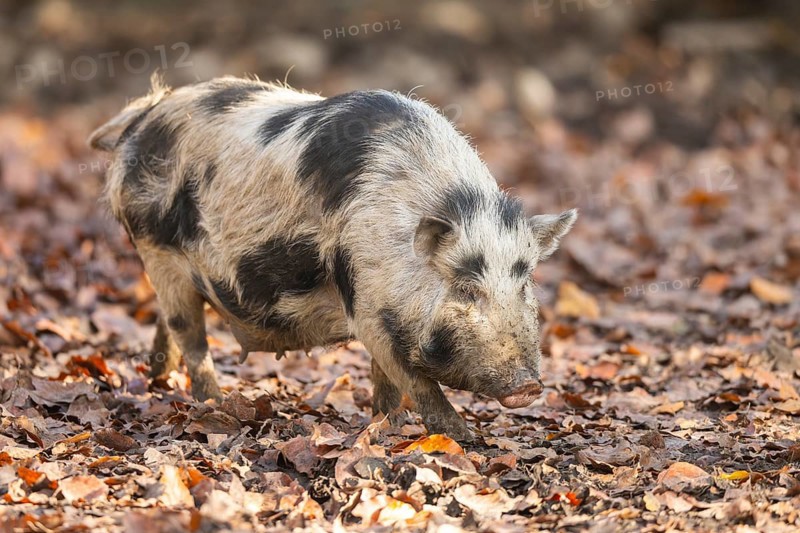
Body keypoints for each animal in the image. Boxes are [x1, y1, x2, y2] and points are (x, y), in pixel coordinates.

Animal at [89, 76, 577, 441]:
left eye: (525, 284)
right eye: (466, 288)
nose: (529, 386)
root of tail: (146, 114)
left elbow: (387, 383)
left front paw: (387, 426)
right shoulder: (364, 306)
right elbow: (419, 385)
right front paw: (468, 440)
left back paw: (159, 374)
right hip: (156, 252)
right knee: (191, 336)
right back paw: (214, 404)